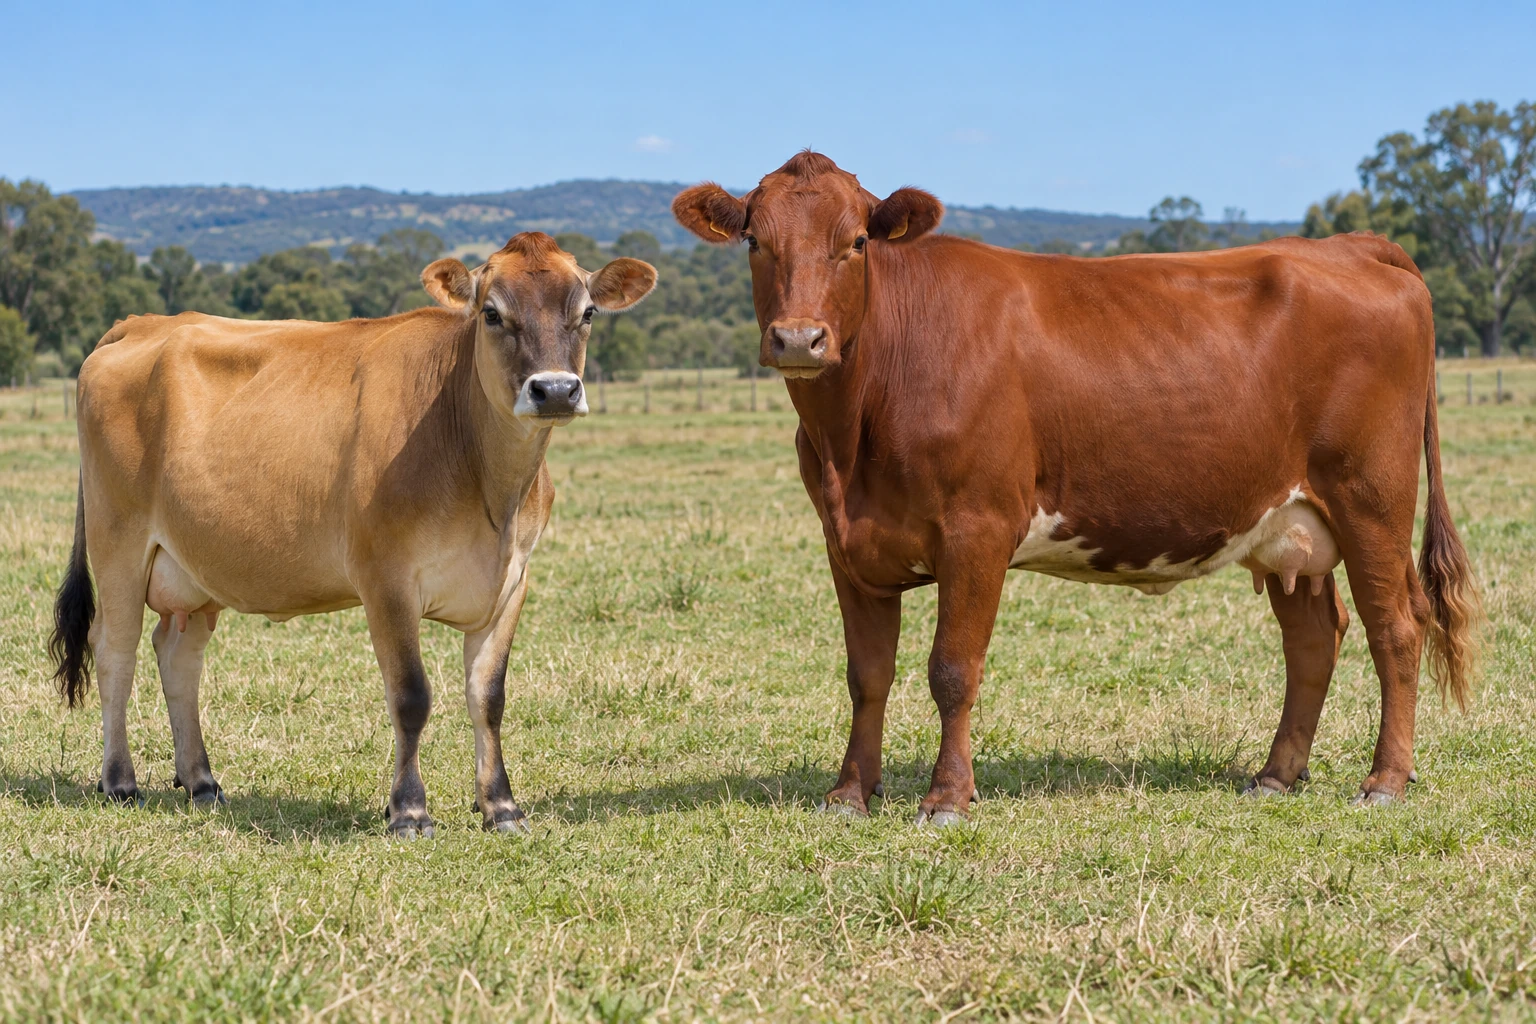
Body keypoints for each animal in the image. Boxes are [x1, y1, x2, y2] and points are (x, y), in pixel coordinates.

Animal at [49, 232, 656, 837]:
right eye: (491, 313)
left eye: (588, 313)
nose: (554, 390)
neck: (487, 486)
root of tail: (142, 323)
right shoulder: (384, 578)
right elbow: (411, 696)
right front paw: (409, 811)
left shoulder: (511, 582)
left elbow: (489, 697)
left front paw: (501, 807)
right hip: (119, 542)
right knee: (116, 649)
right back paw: (120, 782)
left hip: (195, 566)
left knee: (178, 655)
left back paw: (201, 781)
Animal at [673, 152, 1479, 825]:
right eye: (755, 241)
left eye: (858, 243)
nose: (798, 339)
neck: (852, 442)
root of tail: (1349, 244)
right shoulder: (848, 544)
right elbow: (867, 675)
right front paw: (847, 794)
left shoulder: (977, 529)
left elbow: (951, 671)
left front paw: (947, 798)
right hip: (1290, 524)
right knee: (1314, 636)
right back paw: (1276, 774)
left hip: (1370, 499)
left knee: (1396, 627)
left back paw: (1384, 781)